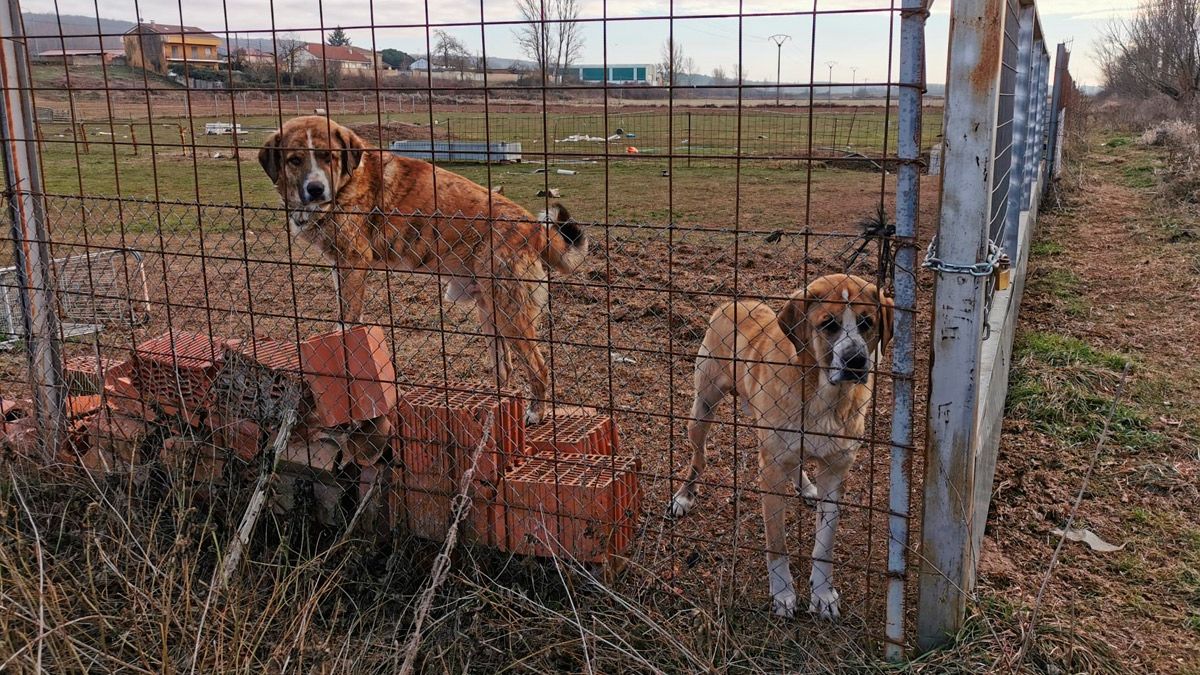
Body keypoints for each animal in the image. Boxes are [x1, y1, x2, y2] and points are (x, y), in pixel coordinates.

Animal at [260, 115, 588, 420]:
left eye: (329, 156)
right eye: (294, 160)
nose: (315, 189)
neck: (347, 183)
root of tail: (534, 228)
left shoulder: (353, 261)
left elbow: (348, 319)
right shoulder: (338, 265)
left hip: (510, 313)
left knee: (539, 367)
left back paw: (535, 412)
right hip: (490, 311)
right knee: (504, 366)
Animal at [667, 271, 892, 614]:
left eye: (867, 322)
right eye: (828, 324)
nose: (855, 361)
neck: (823, 398)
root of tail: (734, 303)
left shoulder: (835, 472)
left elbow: (825, 543)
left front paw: (823, 594)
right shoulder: (770, 472)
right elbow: (777, 543)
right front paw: (783, 593)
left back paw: (806, 487)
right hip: (702, 411)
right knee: (698, 458)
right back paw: (684, 495)